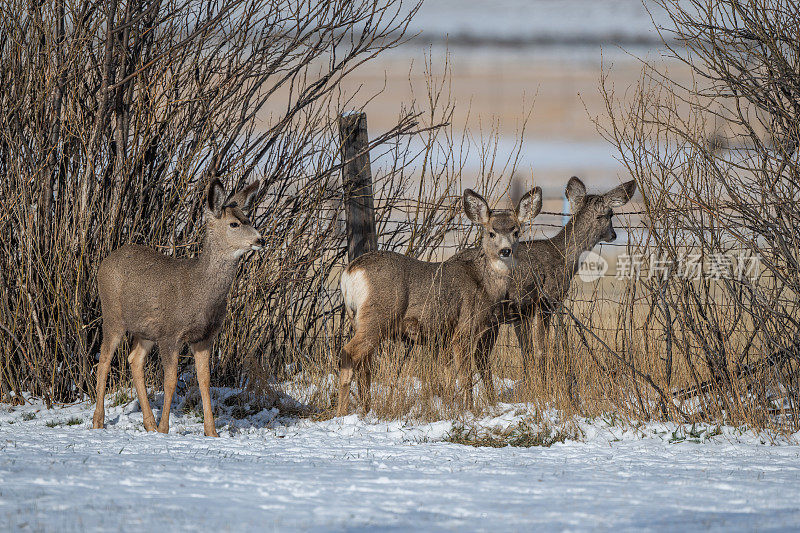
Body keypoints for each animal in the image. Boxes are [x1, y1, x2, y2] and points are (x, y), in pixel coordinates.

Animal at [92, 177, 262, 434]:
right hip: (112, 315)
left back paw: (149, 424)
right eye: (234, 224)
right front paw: (165, 428)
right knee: (103, 361)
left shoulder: (204, 336)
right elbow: (170, 380)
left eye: (248, 219)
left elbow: (205, 380)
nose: (260, 239)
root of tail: (105, 261)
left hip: (145, 331)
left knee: (134, 360)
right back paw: (99, 421)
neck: (201, 294)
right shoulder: (170, 333)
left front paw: (211, 432)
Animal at [334, 187, 540, 416]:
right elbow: (465, 376)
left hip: (357, 318)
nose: (505, 251)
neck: (484, 284)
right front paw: (469, 409)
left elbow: (448, 376)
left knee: (364, 364)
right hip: (378, 315)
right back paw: (341, 412)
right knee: (348, 353)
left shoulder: (444, 337)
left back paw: (365, 409)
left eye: (516, 232)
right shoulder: (464, 329)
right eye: (491, 232)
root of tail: (350, 273)